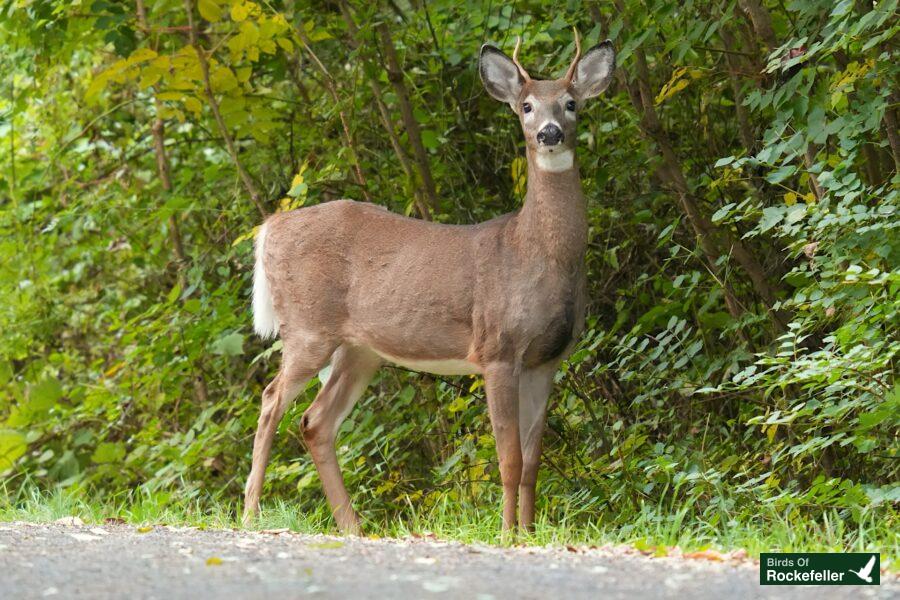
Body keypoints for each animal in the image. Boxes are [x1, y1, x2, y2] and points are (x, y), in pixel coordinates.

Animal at [243, 30, 616, 532]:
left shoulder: (547, 359)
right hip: (307, 329)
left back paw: (353, 527)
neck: (534, 253)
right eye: (526, 106)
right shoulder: (497, 350)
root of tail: (270, 227)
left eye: (571, 103)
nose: (549, 133)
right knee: (269, 402)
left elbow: (533, 461)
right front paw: (506, 534)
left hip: (360, 350)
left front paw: (530, 531)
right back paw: (250, 514)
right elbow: (509, 459)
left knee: (315, 422)